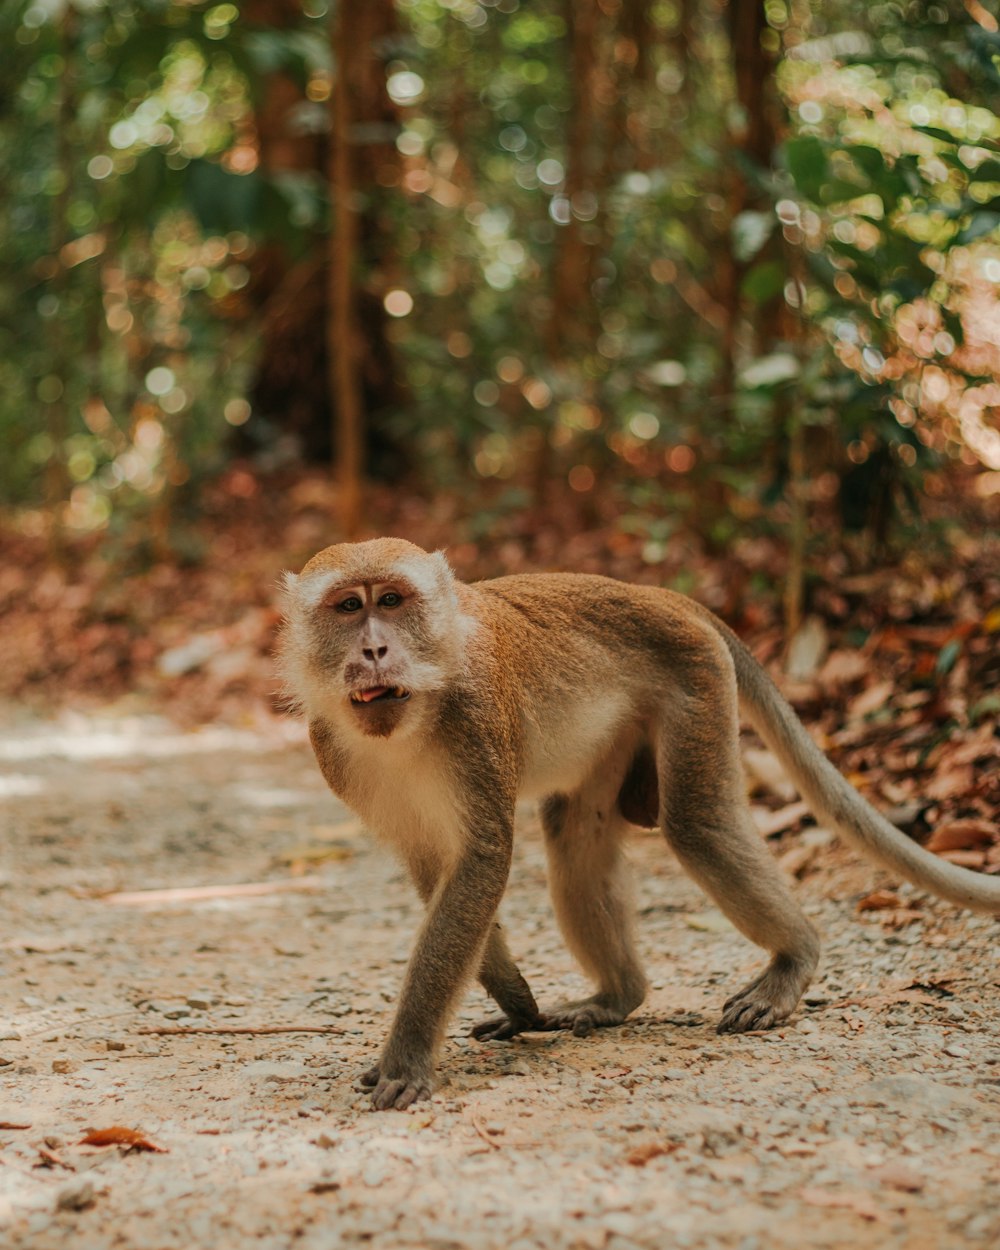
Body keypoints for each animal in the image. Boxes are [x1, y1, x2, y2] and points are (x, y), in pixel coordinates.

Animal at [278, 542, 1000, 1110]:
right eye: (348, 608)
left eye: (392, 601)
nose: (375, 648)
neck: (415, 717)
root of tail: (659, 595)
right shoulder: (333, 753)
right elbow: (439, 874)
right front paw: (515, 1000)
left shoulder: (478, 720)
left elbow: (481, 862)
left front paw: (405, 1060)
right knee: (577, 836)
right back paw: (616, 997)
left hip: (694, 680)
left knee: (698, 826)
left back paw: (793, 959)